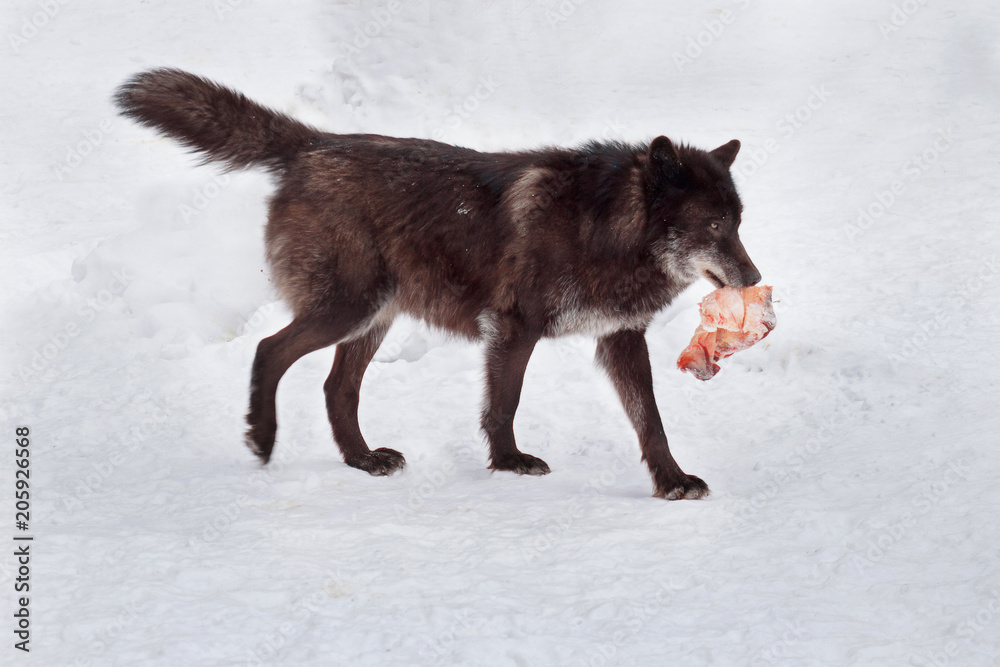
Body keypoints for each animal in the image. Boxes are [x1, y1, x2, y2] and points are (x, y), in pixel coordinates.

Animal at [114, 68, 761, 500]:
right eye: (713, 226)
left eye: (737, 222)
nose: (754, 277)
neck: (603, 227)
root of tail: (315, 145)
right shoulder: (514, 328)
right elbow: (503, 404)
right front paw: (509, 463)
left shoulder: (621, 338)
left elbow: (652, 421)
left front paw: (671, 481)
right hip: (349, 309)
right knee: (269, 350)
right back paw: (264, 438)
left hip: (374, 318)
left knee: (336, 389)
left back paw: (362, 460)